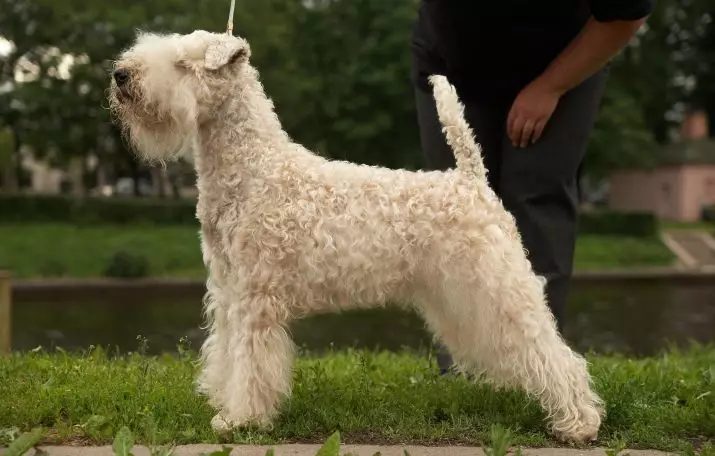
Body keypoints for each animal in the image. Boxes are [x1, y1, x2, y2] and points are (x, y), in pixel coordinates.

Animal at [109, 28, 608, 442]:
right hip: (459, 296)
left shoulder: (255, 299)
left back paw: (578, 423)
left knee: (552, 351)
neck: (253, 168)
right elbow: (228, 353)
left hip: (498, 286)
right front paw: (223, 402)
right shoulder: (228, 291)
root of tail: (472, 179)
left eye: (183, 62)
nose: (120, 75)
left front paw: (242, 420)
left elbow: (251, 363)